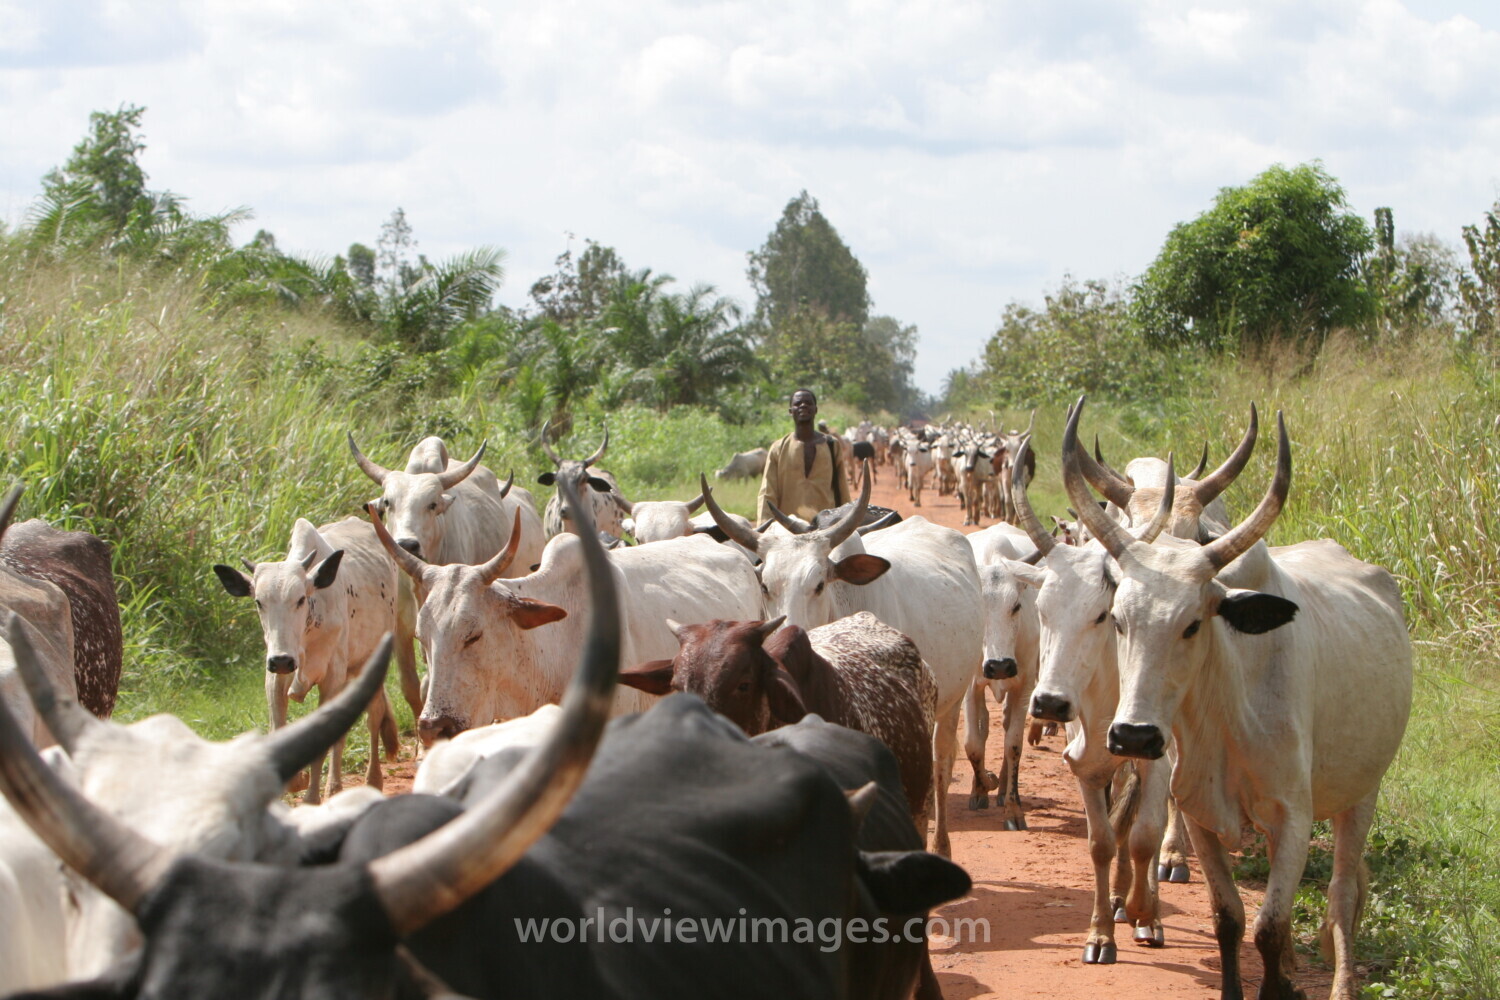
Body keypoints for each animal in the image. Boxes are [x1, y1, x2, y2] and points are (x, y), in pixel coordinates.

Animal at [213, 515, 401, 799]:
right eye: (258, 602)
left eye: (301, 599)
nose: (281, 660)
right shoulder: (275, 678)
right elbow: (278, 731)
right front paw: (293, 783)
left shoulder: (332, 678)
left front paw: (311, 798)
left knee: (373, 717)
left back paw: (365, 782)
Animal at [1061, 398, 1413, 1000]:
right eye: (1119, 620)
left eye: (1193, 624)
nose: (1134, 735)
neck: (1228, 711)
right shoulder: (1200, 809)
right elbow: (1229, 918)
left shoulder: (1294, 816)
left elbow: (1269, 927)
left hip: (1362, 791)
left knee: (1342, 896)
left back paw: (1338, 982)